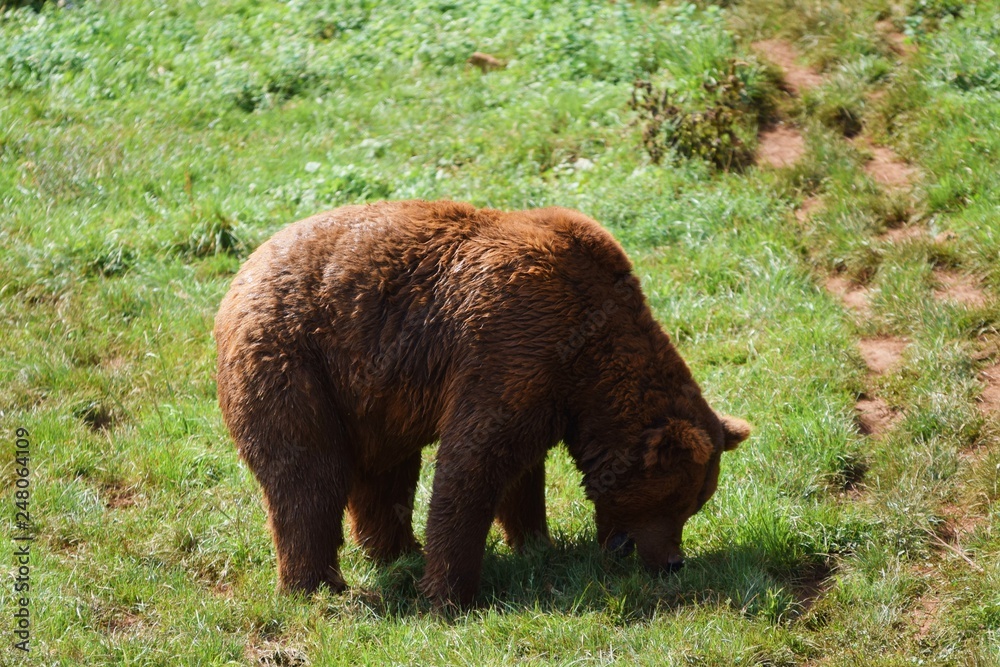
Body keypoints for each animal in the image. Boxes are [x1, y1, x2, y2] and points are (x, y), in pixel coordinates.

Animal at [219, 198, 752, 604]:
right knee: (307, 475)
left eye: (696, 502)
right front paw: (450, 593)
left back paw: (398, 552)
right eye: (678, 501)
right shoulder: (512, 336)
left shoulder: (544, 384)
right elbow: (473, 462)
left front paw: (536, 545)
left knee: (386, 471)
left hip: (371, 392)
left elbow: (521, 471)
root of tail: (241, 273)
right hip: (295, 358)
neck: (590, 361)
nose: (673, 564)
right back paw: (316, 586)